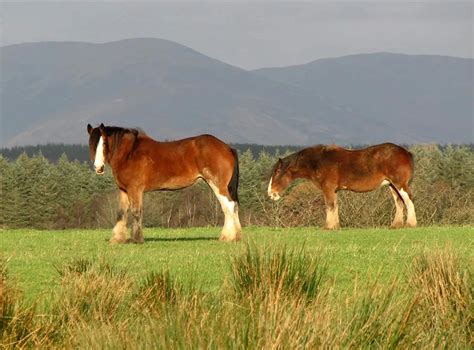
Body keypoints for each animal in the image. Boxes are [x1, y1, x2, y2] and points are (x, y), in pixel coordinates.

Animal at [87, 123, 241, 243]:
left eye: (104, 143)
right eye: (92, 144)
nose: (98, 168)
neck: (129, 154)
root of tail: (227, 148)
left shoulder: (135, 189)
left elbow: (136, 212)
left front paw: (137, 239)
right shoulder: (124, 190)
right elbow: (121, 213)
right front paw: (117, 239)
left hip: (218, 185)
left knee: (228, 206)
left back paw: (226, 237)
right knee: (234, 206)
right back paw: (237, 236)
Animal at [268, 143, 416, 230]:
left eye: (276, 173)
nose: (271, 194)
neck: (318, 161)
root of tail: (406, 152)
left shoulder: (328, 188)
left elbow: (329, 205)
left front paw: (328, 226)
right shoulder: (333, 190)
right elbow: (335, 206)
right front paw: (336, 226)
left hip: (399, 184)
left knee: (408, 199)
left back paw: (411, 223)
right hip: (392, 185)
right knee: (399, 202)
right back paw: (396, 225)